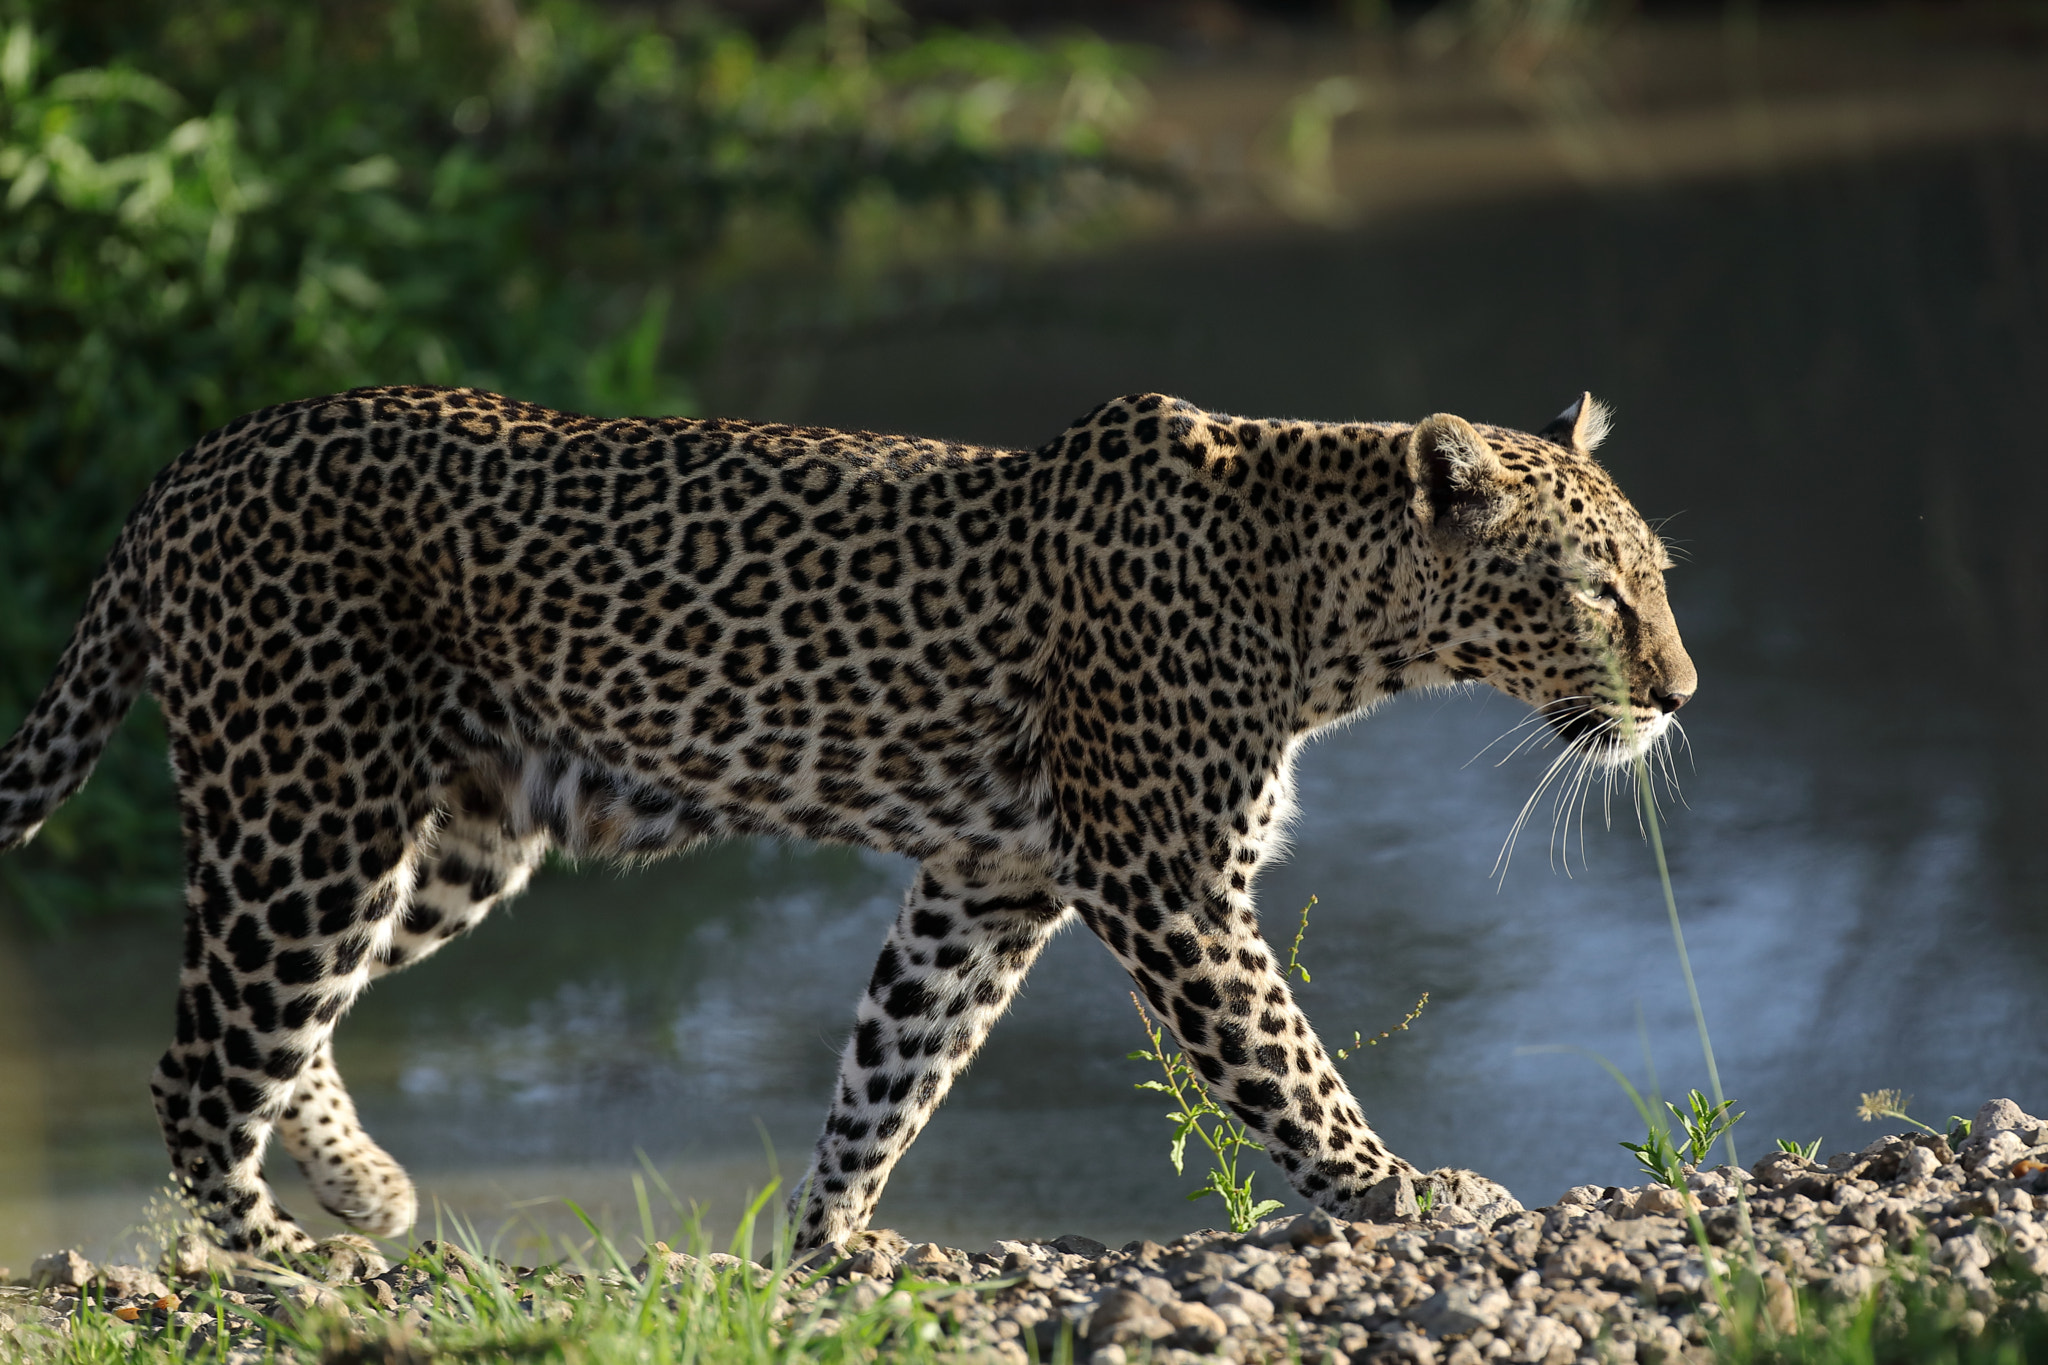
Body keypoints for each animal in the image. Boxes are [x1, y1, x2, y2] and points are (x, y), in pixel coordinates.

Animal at [0, 386, 1687, 1260]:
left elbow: (893, 1068)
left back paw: (365, 1194)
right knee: (200, 1066)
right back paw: (302, 1276)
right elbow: (1292, 1069)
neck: (1330, 619)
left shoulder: (988, 883)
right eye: (1598, 590)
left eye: (1657, 576)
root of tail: (180, 471)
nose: (1678, 692)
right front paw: (1417, 1199)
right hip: (311, 808)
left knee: (286, 1029)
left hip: (449, 835)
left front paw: (831, 1247)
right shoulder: (1166, 882)